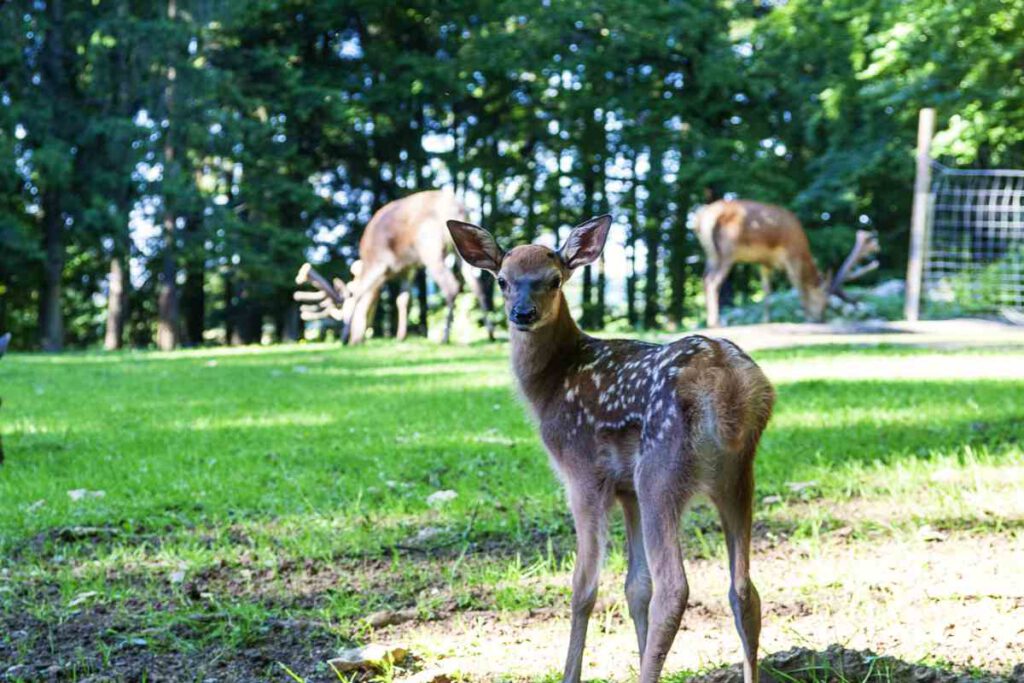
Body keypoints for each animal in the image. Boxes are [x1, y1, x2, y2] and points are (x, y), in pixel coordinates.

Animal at [294, 189, 493, 344]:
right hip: (462, 252)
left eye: (344, 312)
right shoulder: (408, 268)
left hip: (430, 246)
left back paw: (444, 338)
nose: (354, 340)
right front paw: (400, 336)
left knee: (451, 286)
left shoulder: (379, 263)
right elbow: (402, 300)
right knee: (477, 285)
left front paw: (344, 338)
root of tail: (459, 209)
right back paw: (491, 334)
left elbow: (359, 294)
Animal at [448, 215, 774, 683]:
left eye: (554, 280)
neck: (550, 384)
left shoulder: (583, 474)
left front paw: (569, 674)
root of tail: (730, 386)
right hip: (736, 475)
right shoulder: (626, 489)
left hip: (661, 471)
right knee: (744, 590)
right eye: (503, 280)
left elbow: (583, 586)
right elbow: (635, 587)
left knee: (675, 588)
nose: (522, 314)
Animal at [696, 198, 880, 327]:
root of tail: (701, 219)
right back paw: (715, 322)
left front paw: (766, 320)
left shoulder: (765, 262)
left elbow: (767, 290)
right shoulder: (791, 254)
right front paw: (807, 316)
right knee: (713, 281)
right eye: (823, 301)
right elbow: (798, 285)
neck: (803, 247)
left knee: (704, 278)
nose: (821, 319)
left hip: (711, 254)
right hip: (728, 249)